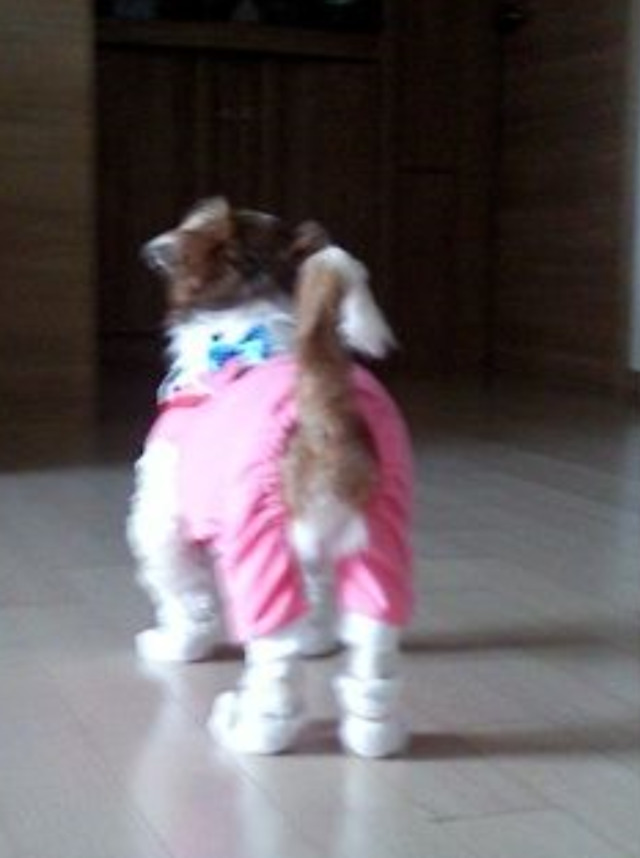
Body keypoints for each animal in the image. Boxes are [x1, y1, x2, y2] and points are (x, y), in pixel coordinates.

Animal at [127, 197, 414, 757]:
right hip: (378, 539)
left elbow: (182, 592)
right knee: (374, 642)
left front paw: (176, 644)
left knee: (275, 662)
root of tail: (326, 410)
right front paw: (317, 641)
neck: (247, 328)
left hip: (262, 545)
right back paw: (375, 733)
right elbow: (319, 598)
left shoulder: (162, 514)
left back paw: (250, 730)